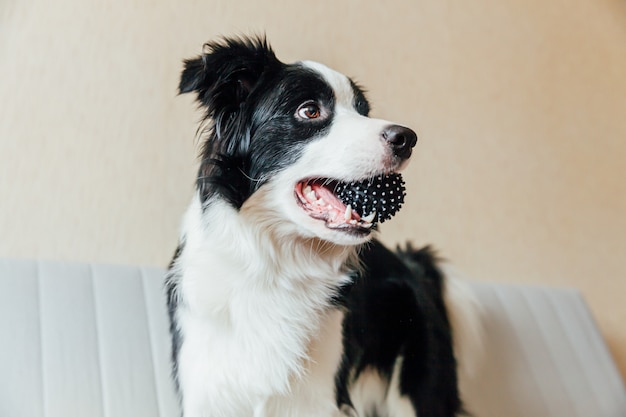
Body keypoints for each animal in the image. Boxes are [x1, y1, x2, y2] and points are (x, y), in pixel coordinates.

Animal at [163, 36, 480, 416]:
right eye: (310, 111)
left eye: (363, 111)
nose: (407, 138)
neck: (276, 263)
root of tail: (412, 264)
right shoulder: (208, 390)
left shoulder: (319, 396)